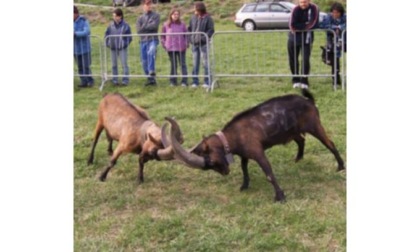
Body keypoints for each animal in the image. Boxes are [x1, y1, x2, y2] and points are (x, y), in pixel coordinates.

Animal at [164, 89, 344, 202]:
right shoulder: (245, 154)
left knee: (330, 143)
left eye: (212, 162)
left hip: (315, 126)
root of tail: (309, 101)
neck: (232, 137)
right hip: (293, 131)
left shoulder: (258, 152)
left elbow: (269, 174)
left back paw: (341, 166)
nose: (225, 173)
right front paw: (244, 186)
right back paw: (298, 158)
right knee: (301, 140)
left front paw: (280, 197)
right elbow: (244, 168)